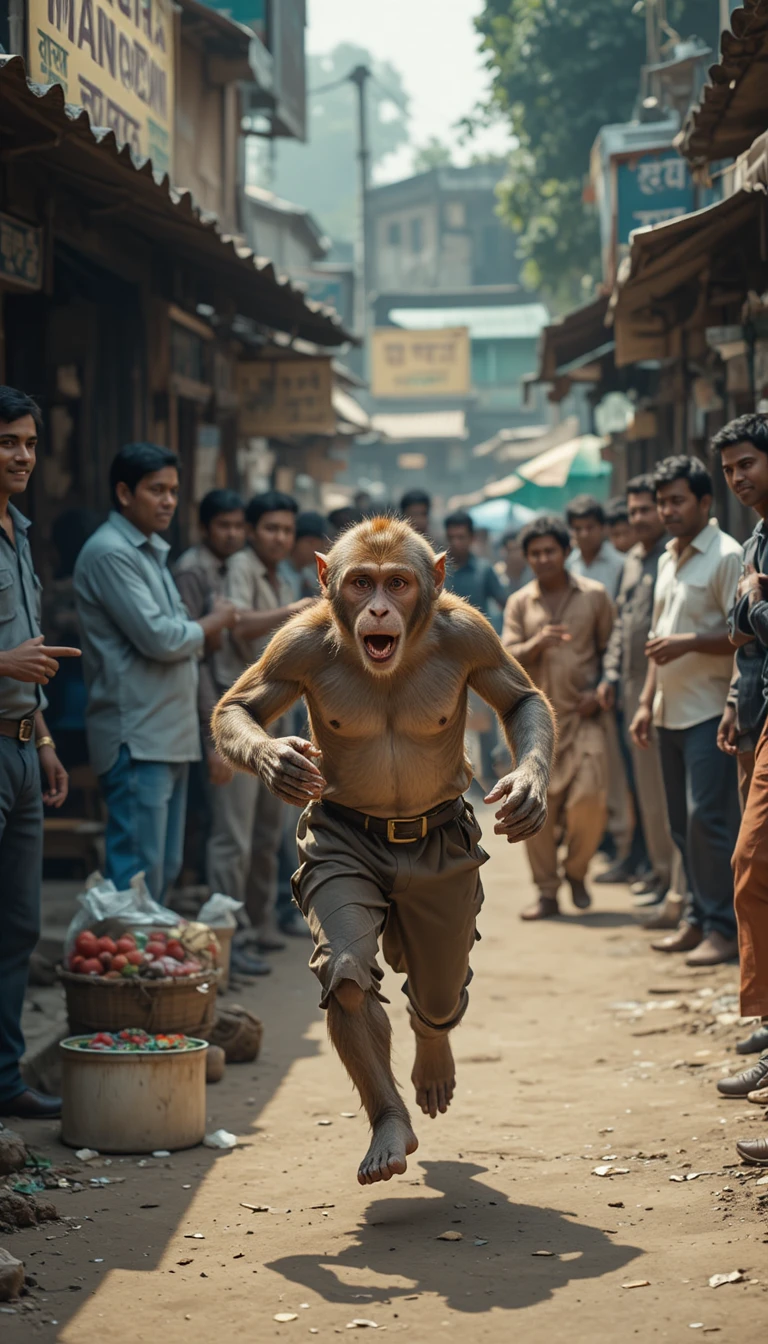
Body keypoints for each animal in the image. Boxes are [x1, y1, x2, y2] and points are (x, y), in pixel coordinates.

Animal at [212, 517, 555, 1187]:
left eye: (397, 582)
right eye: (361, 583)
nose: (376, 609)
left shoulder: (473, 634)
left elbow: (519, 699)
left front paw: (526, 788)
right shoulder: (295, 642)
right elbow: (240, 706)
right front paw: (277, 761)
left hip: (449, 898)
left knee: (441, 991)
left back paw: (434, 1059)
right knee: (356, 972)